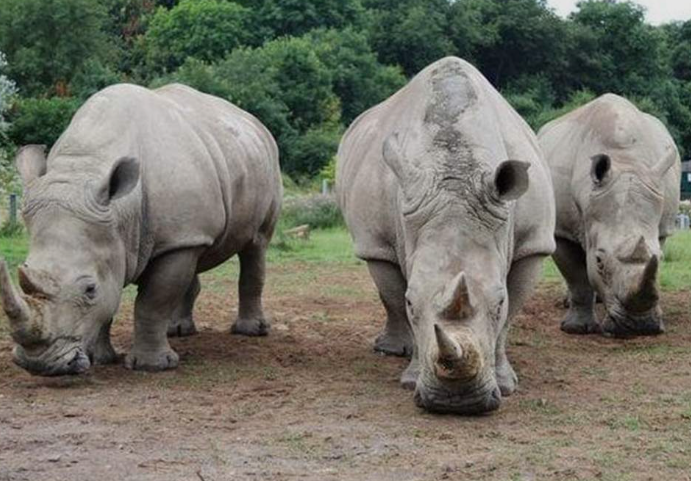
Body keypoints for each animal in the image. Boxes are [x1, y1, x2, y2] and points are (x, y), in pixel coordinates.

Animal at [0, 83, 282, 376]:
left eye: (90, 289)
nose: (38, 364)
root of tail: (253, 121)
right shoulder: (131, 237)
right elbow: (111, 300)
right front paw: (101, 358)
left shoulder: (168, 240)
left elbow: (152, 301)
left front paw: (152, 366)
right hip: (199, 207)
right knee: (195, 255)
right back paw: (178, 331)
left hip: (265, 164)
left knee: (256, 244)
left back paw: (250, 331)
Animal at [337, 57, 556, 414]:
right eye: (412, 301)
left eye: (499, 301)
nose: (457, 401)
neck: (456, 171)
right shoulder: (378, 240)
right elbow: (395, 297)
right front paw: (411, 378)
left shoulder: (533, 244)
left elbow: (510, 316)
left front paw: (506, 383)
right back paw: (389, 350)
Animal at [538, 94, 681, 337]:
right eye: (599, 261)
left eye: (662, 259)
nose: (640, 327)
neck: (625, 160)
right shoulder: (561, 230)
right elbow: (577, 277)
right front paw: (577, 329)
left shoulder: (660, 227)